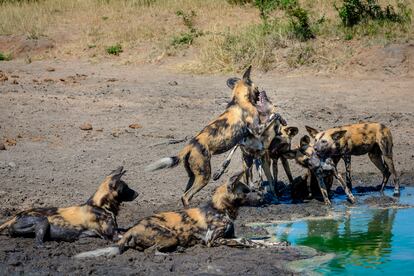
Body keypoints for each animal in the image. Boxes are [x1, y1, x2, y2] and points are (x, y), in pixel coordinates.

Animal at [0, 166, 139, 246]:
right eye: (126, 187)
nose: (138, 193)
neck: (101, 205)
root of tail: (15, 216)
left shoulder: (116, 230)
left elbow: (127, 230)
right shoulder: (112, 235)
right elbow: (126, 234)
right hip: (42, 221)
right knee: (38, 242)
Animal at [75, 171, 282, 258]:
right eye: (246, 191)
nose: (264, 198)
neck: (221, 209)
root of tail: (132, 229)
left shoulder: (231, 235)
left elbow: (255, 240)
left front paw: (276, 244)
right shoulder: (213, 241)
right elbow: (247, 241)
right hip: (170, 235)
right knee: (151, 251)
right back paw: (174, 252)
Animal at [146, 66, 268, 206]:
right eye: (256, 88)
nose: (260, 93)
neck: (239, 100)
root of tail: (190, 145)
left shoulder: (246, 137)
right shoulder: (256, 129)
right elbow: (272, 118)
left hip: (194, 176)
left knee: (184, 195)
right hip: (204, 177)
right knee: (187, 196)